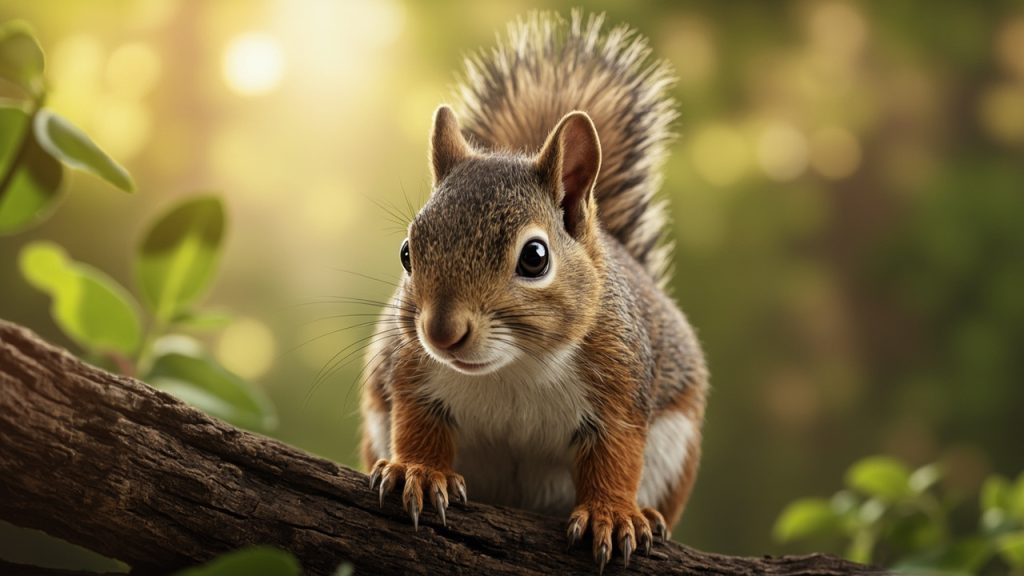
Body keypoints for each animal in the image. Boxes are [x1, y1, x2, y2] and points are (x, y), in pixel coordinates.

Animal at [360, 10, 708, 572]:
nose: (440, 332)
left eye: (536, 257)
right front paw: (417, 471)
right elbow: (416, 424)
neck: (513, 366)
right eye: (407, 252)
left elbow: (615, 456)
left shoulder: (620, 383)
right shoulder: (410, 370)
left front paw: (612, 513)